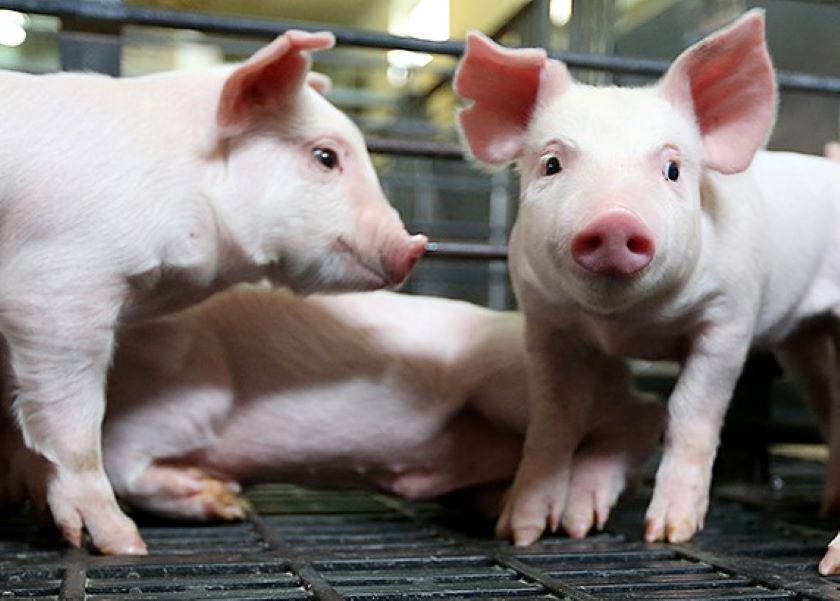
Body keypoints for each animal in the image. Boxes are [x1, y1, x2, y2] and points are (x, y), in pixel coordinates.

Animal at [1, 286, 664, 537]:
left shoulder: (185, 391)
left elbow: (113, 458)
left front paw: (227, 499)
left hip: (511, 383)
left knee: (645, 412)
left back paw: (577, 514)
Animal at [454, 7, 840, 567]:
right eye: (551, 163)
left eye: (672, 169)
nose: (614, 220)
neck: (628, 326)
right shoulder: (546, 322)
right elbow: (554, 418)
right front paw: (521, 531)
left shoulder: (729, 320)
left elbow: (691, 415)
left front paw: (668, 533)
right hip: (801, 339)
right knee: (827, 400)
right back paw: (827, 503)